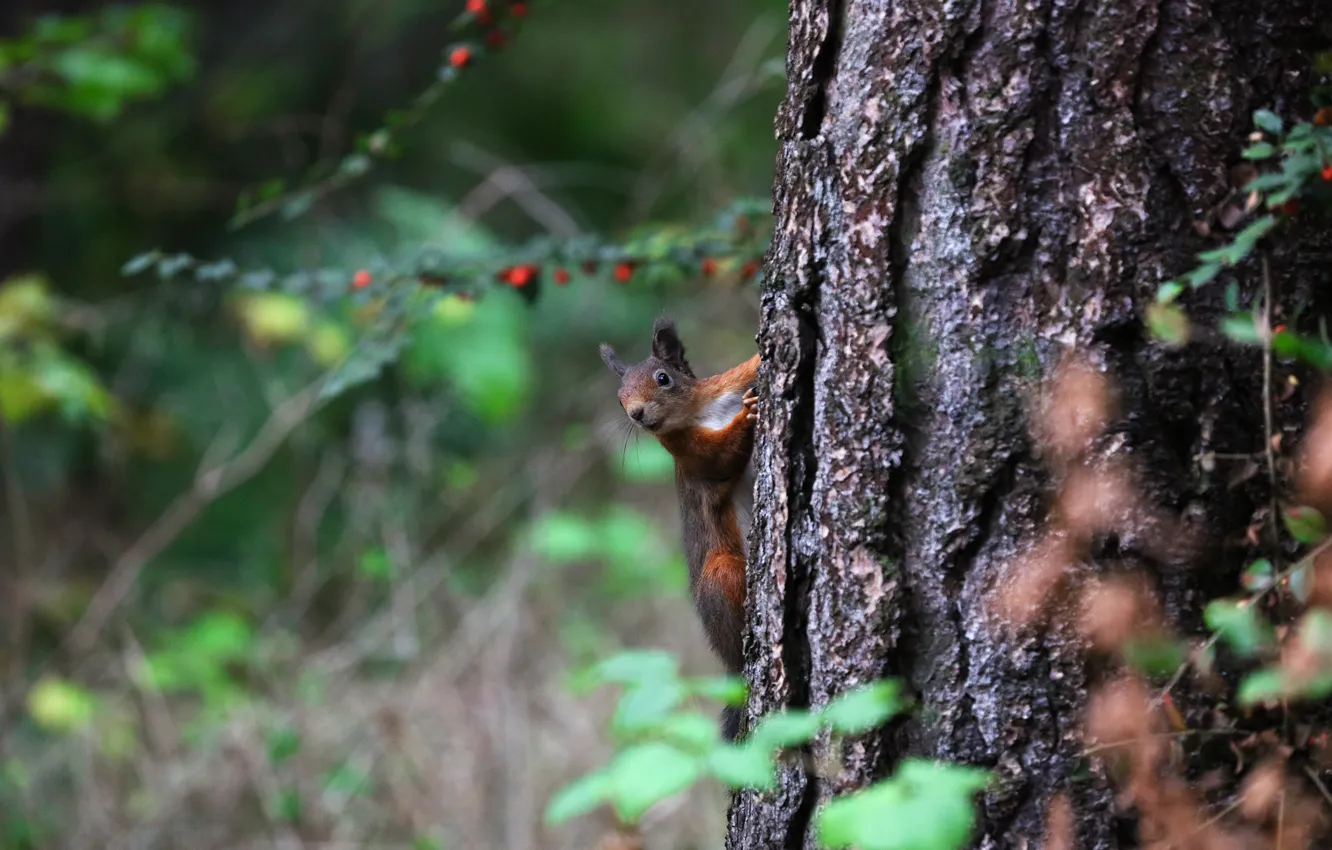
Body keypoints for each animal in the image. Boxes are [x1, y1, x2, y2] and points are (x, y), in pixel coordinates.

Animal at [602, 317, 761, 740]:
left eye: (663, 378)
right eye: (619, 398)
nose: (636, 414)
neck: (699, 414)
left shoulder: (724, 384)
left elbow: (746, 368)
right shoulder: (688, 451)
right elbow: (722, 457)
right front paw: (746, 417)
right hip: (721, 573)